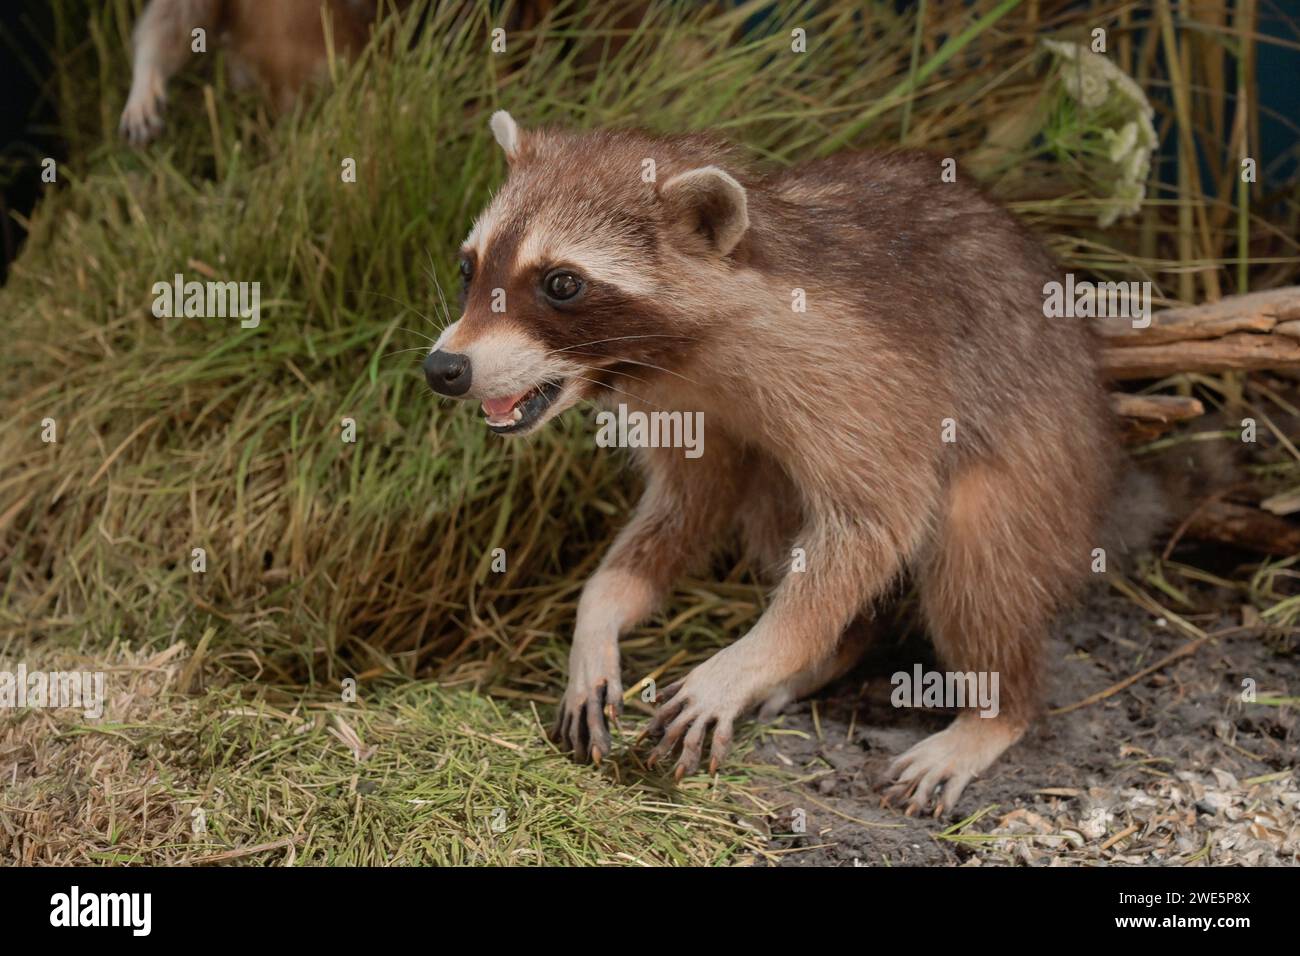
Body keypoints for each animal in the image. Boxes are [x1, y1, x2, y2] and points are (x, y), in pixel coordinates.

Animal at [423, 111, 1118, 816]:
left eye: (561, 283)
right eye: (468, 267)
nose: (444, 369)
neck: (678, 356)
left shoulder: (865, 371)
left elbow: (876, 521)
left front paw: (753, 658)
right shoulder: (680, 406)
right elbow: (685, 512)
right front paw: (597, 615)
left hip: (1043, 453)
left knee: (978, 565)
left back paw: (995, 710)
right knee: (774, 507)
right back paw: (848, 645)